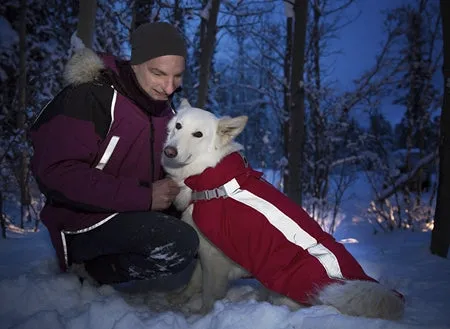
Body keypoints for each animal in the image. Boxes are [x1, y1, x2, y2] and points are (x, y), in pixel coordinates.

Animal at [161, 98, 404, 320]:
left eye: (198, 134)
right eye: (178, 126)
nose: (169, 151)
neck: (212, 178)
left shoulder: (214, 258)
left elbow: (210, 295)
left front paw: (201, 316)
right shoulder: (203, 252)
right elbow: (193, 282)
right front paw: (180, 300)